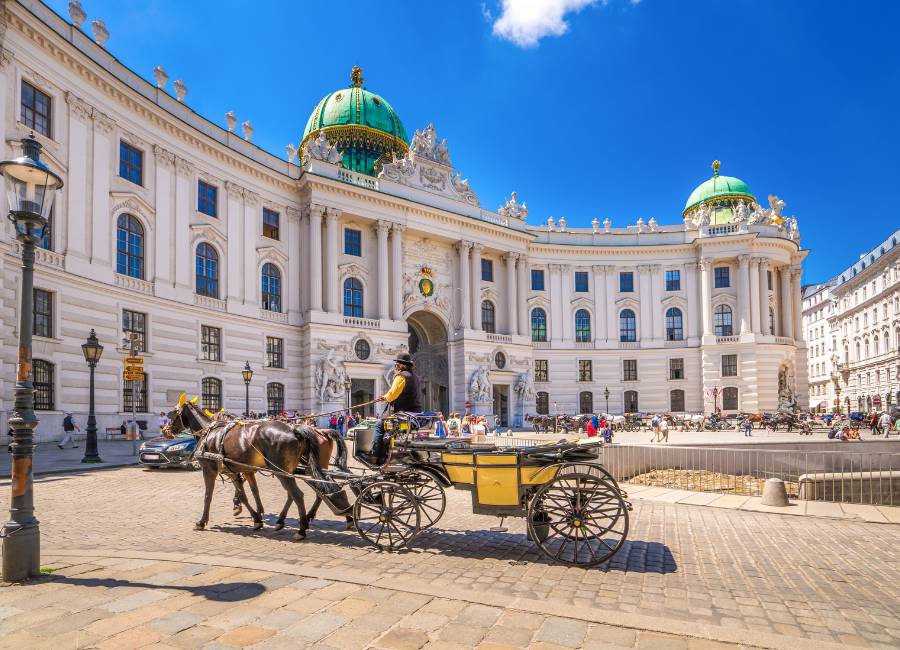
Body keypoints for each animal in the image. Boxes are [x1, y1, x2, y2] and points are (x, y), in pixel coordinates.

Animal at [167, 394, 350, 536]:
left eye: (173, 413)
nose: (165, 430)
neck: (211, 433)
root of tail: (295, 430)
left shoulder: (210, 470)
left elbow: (209, 496)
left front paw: (202, 521)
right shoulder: (240, 471)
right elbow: (249, 493)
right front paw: (256, 516)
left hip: (285, 470)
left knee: (299, 494)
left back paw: (302, 528)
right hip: (298, 470)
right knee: (316, 490)